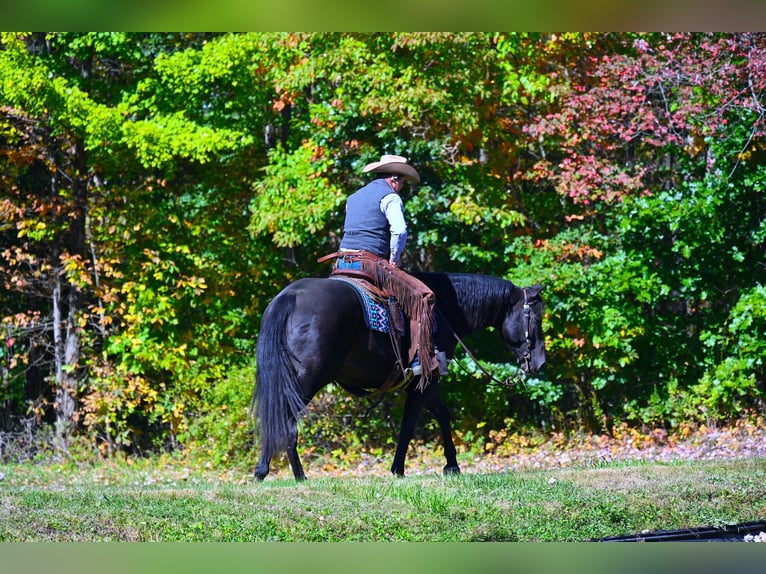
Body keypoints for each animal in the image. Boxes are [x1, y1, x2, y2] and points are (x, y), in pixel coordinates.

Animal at [252, 272, 544, 484]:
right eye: (535, 318)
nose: (540, 363)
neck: (444, 309)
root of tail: (289, 297)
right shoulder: (425, 382)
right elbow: (409, 425)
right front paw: (398, 469)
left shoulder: (425, 384)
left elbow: (442, 414)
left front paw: (451, 465)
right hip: (305, 382)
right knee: (285, 423)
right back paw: (299, 476)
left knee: (274, 418)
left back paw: (262, 471)